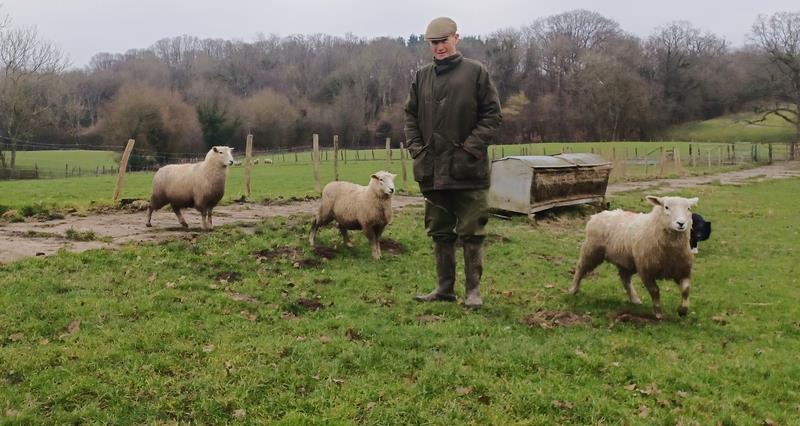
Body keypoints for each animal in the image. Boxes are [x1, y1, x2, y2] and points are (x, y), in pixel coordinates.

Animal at [568, 195, 700, 318]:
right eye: (666, 207)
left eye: (689, 208)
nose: (681, 223)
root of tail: (599, 214)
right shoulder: (646, 271)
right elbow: (655, 291)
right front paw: (658, 312)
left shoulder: (683, 270)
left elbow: (686, 290)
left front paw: (683, 310)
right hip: (591, 250)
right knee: (580, 268)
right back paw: (573, 289)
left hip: (627, 262)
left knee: (625, 278)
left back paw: (635, 299)